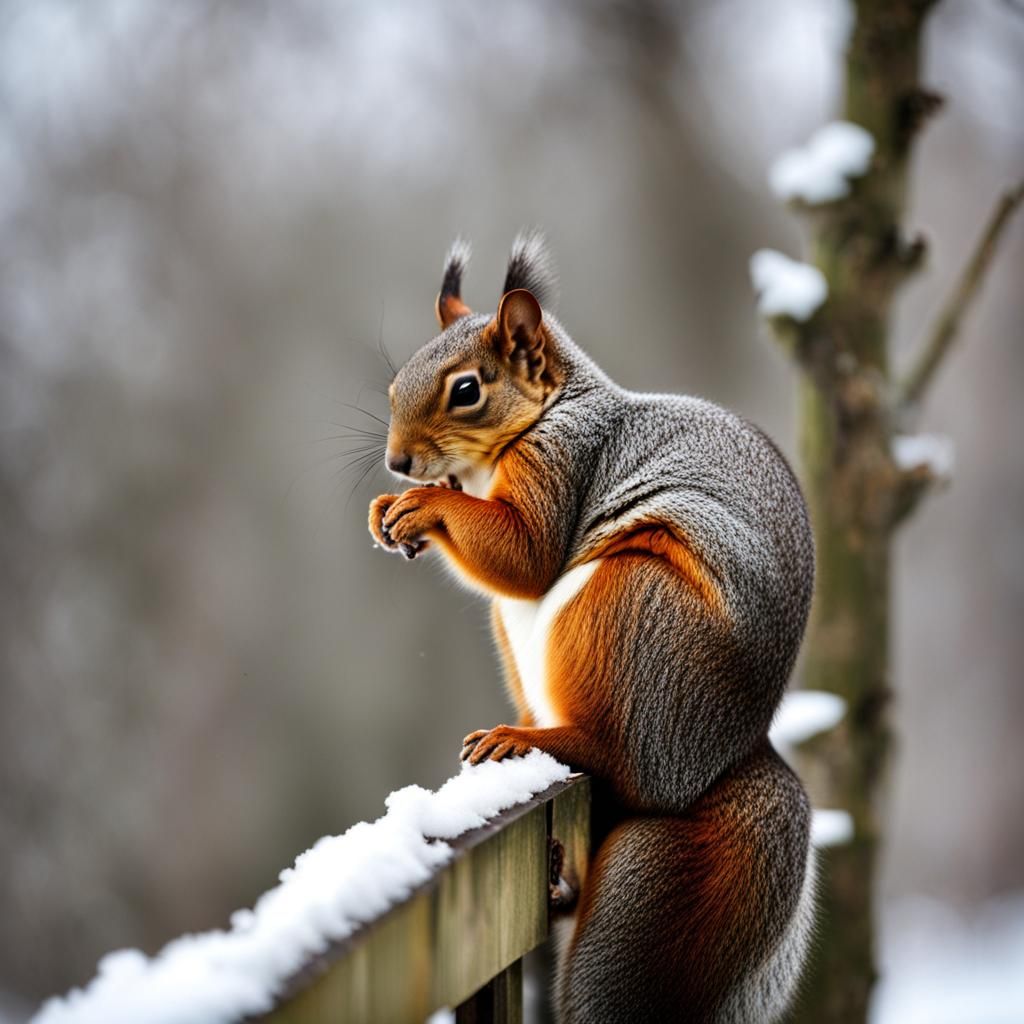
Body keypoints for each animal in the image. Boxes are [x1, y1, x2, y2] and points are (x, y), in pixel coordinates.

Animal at [368, 233, 816, 1024]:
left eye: (467, 390)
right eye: (394, 388)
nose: (399, 461)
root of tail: (710, 763)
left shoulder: (562, 464)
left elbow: (523, 555)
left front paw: (422, 506)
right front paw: (386, 512)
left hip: (628, 609)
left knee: (611, 749)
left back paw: (534, 739)